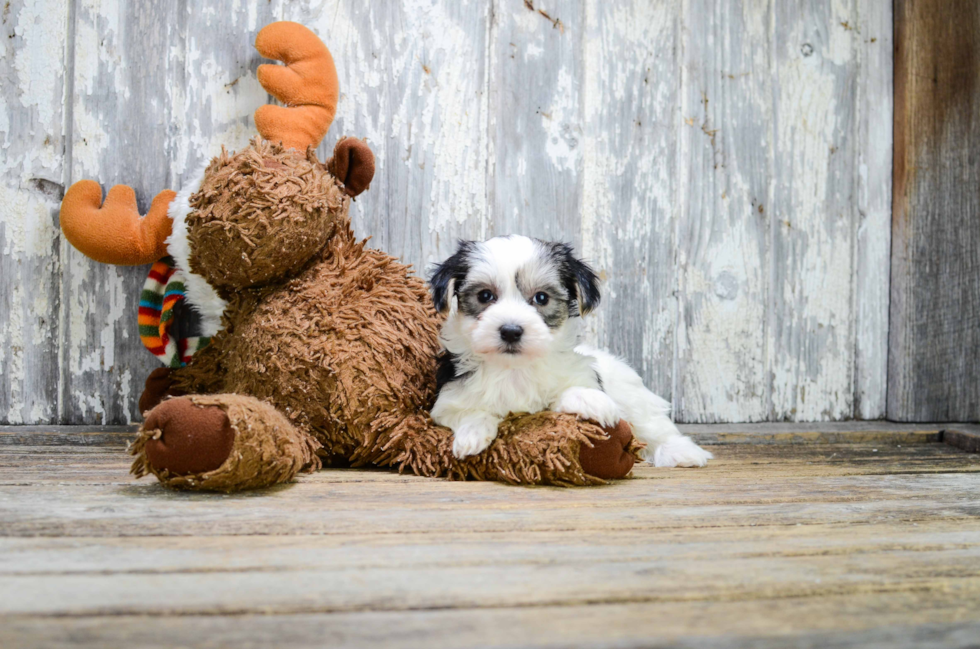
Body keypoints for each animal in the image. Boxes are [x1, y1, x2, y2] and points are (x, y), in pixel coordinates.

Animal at [428, 234, 712, 466]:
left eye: (541, 298)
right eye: (485, 296)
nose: (510, 330)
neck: (515, 368)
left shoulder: (580, 377)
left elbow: (569, 392)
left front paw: (592, 401)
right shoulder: (448, 401)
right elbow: (469, 412)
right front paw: (472, 435)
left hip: (631, 394)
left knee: (652, 424)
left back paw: (682, 452)